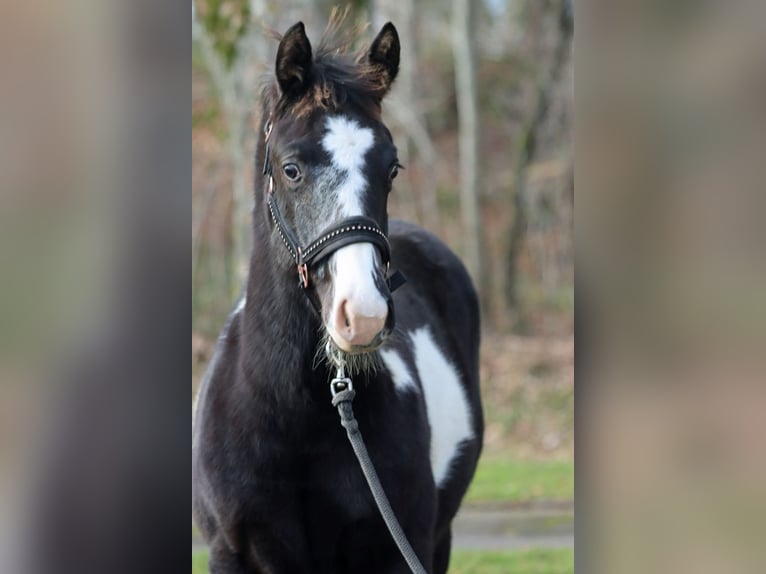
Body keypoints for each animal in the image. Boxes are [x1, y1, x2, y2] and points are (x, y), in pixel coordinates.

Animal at [192, 19, 483, 574]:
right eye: (290, 169)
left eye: (391, 169)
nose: (363, 315)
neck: (294, 415)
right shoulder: (230, 554)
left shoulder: (402, 550)